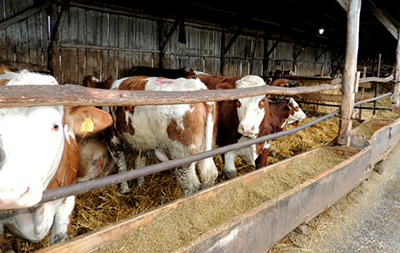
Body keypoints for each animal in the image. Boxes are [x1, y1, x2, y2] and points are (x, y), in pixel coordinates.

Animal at [88, 75, 217, 196]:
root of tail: (198, 86)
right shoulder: (140, 142)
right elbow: (139, 163)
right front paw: (140, 184)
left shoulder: (112, 139)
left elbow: (121, 165)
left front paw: (124, 190)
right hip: (203, 149)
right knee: (210, 176)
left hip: (183, 156)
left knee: (191, 186)